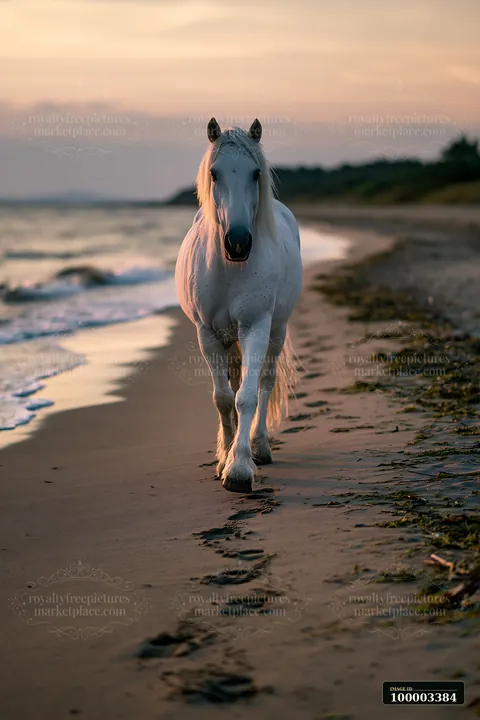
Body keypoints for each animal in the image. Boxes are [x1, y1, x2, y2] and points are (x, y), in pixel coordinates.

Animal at [175, 118, 303, 493]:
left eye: (255, 173)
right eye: (214, 173)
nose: (238, 242)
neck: (229, 268)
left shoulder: (256, 327)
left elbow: (247, 396)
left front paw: (240, 469)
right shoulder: (207, 334)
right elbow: (222, 398)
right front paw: (223, 460)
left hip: (276, 331)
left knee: (265, 382)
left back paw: (260, 447)